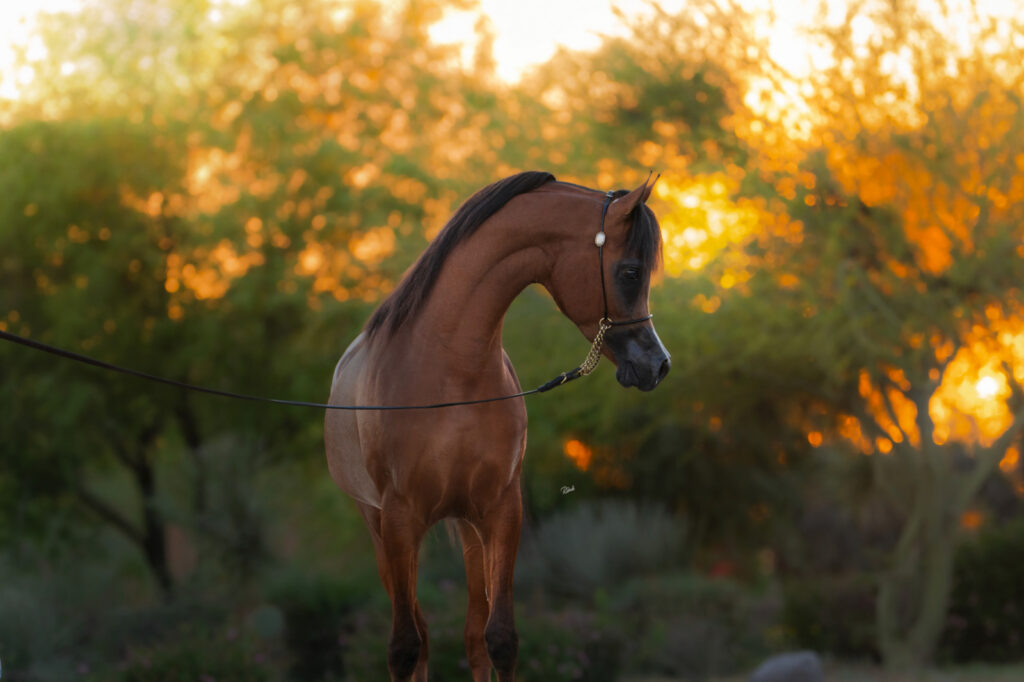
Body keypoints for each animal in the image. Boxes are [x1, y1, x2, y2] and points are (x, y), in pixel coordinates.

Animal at [324, 171, 670, 681]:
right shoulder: (400, 519)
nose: (658, 366)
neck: (452, 373)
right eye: (629, 272)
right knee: (417, 638)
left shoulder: (502, 510)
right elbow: (404, 647)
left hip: (467, 527)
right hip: (379, 527)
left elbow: (499, 638)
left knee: (469, 635)